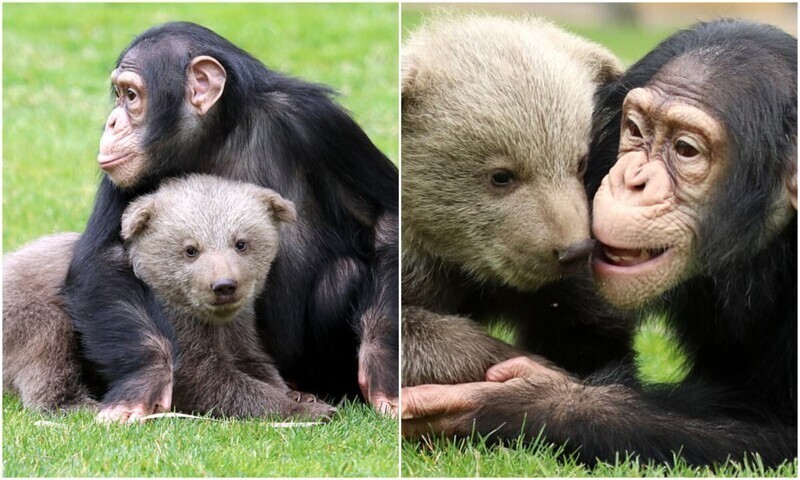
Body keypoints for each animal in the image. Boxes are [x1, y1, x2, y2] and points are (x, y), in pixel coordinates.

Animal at [61, 22, 398, 420]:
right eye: (119, 95)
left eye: (130, 96)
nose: (112, 122)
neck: (218, 136)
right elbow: (105, 256)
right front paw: (143, 380)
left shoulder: (323, 125)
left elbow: (387, 220)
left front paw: (382, 364)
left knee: (343, 274)